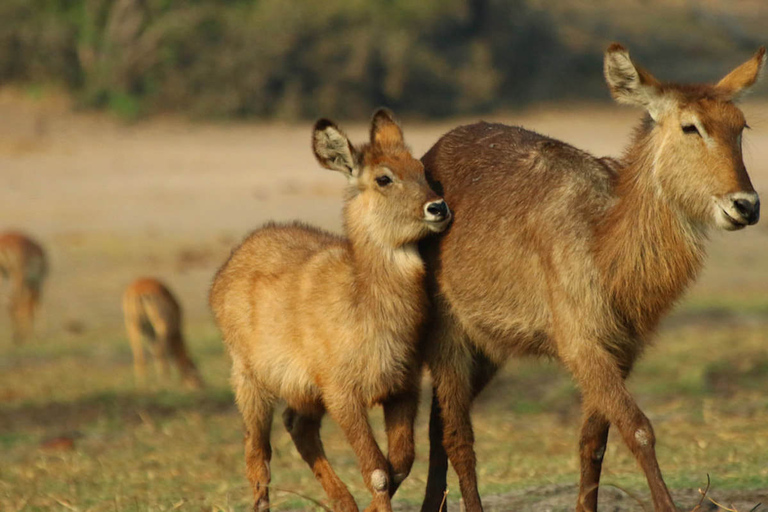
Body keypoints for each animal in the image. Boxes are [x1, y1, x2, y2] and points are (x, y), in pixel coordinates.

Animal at [208, 109, 450, 512]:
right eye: (384, 178)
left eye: (422, 170)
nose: (438, 207)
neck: (366, 300)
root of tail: (230, 263)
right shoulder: (341, 392)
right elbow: (378, 471)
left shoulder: (402, 386)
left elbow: (399, 464)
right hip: (249, 378)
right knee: (257, 455)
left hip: (304, 391)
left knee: (298, 426)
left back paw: (343, 503)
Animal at [416, 45, 764, 512]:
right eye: (691, 126)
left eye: (740, 127)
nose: (746, 205)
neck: (604, 241)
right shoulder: (581, 343)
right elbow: (638, 429)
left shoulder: (622, 349)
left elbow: (592, 441)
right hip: (448, 337)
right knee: (456, 434)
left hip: (487, 348)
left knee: (438, 426)